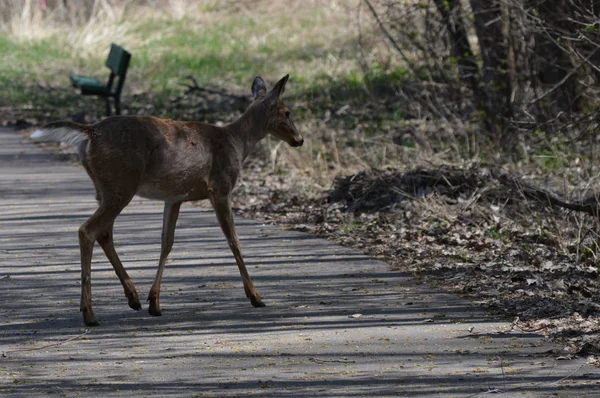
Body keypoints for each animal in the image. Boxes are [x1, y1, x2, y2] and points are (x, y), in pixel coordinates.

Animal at [31, 74, 304, 326]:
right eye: (287, 112)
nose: (299, 140)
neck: (237, 142)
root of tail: (91, 132)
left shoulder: (174, 197)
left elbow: (166, 243)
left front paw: (155, 302)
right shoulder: (220, 187)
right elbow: (234, 240)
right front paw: (256, 296)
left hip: (104, 188)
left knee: (104, 232)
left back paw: (132, 298)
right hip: (121, 184)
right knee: (87, 230)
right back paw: (89, 314)